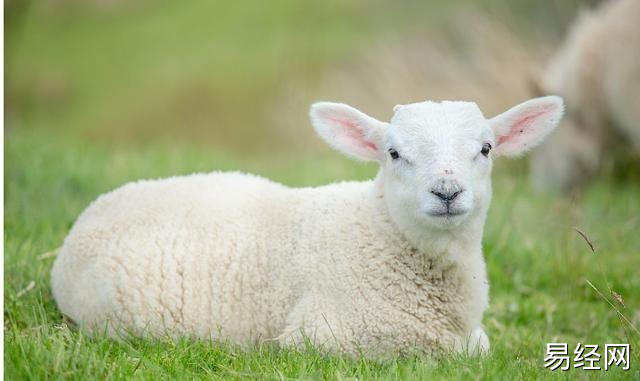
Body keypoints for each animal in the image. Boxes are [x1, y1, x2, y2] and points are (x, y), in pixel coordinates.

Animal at [50, 96, 564, 358]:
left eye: (486, 149)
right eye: (393, 153)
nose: (447, 192)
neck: (379, 232)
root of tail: (91, 213)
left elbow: (479, 347)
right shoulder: (326, 336)